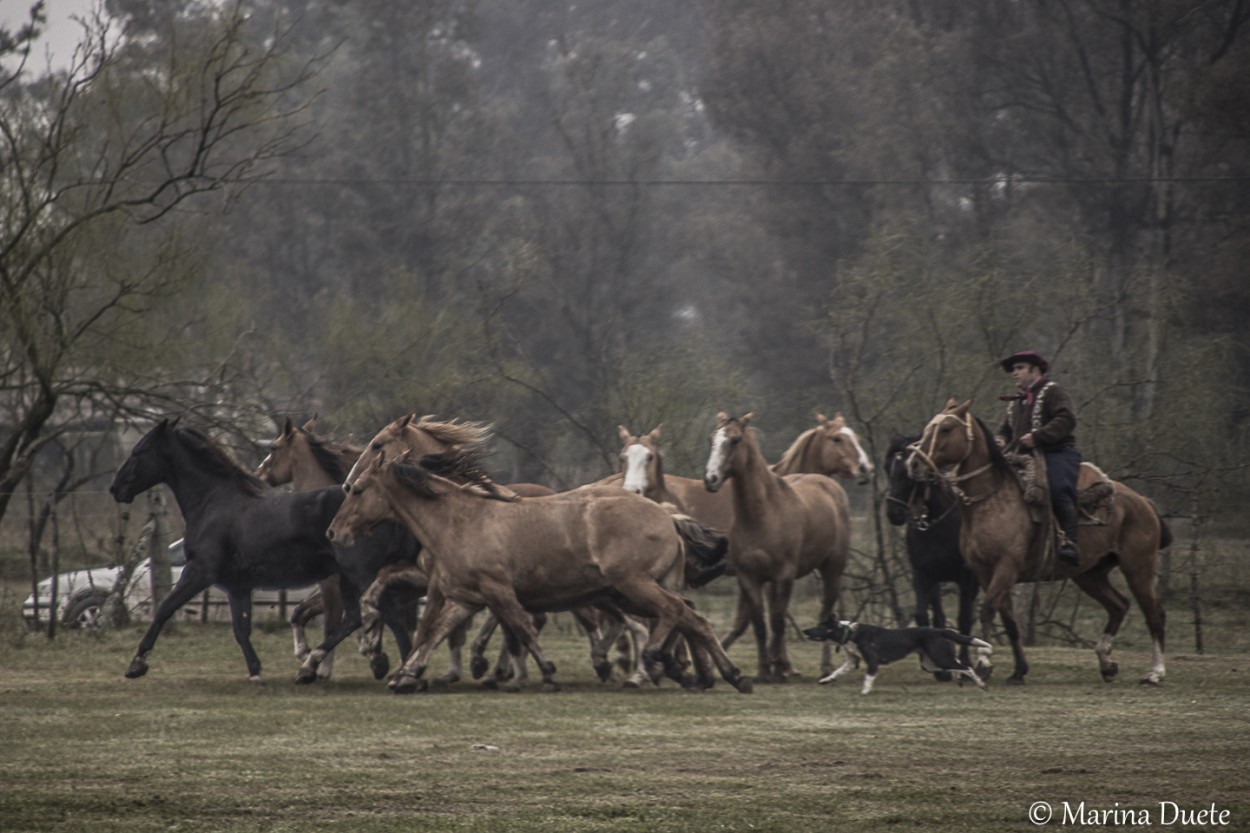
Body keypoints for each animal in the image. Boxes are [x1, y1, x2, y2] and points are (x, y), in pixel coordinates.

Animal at [109, 417, 377, 680]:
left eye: (139, 450)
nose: (115, 488)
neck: (213, 502)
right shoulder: (237, 586)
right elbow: (241, 629)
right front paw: (255, 670)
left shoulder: (199, 571)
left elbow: (164, 609)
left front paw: (137, 663)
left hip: (353, 577)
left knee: (354, 618)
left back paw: (314, 664)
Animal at [327, 447, 750, 695]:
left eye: (359, 490)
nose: (334, 532)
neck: (459, 521)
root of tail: (667, 515)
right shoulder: (466, 598)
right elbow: (434, 634)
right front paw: (406, 675)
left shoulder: (497, 591)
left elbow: (521, 628)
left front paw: (545, 672)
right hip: (639, 589)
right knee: (693, 619)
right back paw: (728, 675)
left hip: (635, 585)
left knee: (674, 614)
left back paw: (658, 661)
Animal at [705, 410, 850, 680]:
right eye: (713, 438)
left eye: (735, 440)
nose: (711, 479)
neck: (762, 514)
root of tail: (827, 483)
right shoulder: (748, 577)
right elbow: (761, 625)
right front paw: (765, 669)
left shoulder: (783, 576)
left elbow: (778, 622)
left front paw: (778, 668)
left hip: (832, 569)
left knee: (826, 612)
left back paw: (825, 667)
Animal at [805, 612, 990, 690]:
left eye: (819, 627)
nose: (805, 630)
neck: (849, 632)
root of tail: (940, 630)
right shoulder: (851, 663)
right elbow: (837, 672)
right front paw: (826, 680)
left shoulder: (872, 661)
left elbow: (868, 679)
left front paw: (865, 692)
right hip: (930, 663)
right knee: (957, 665)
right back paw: (961, 679)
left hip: (938, 658)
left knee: (966, 667)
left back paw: (981, 684)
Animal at [905, 400, 1165, 680]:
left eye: (946, 428)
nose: (914, 464)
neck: (990, 502)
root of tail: (1144, 502)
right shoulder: (984, 571)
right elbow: (1008, 619)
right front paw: (1018, 671)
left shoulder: (1005, 567)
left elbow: (988, 611)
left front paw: (984, 664)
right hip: (1090, 574)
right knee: (1119, 606)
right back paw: (1107, 664)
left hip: (1138, 568)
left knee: (1154, 614)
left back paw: (1155, 673)